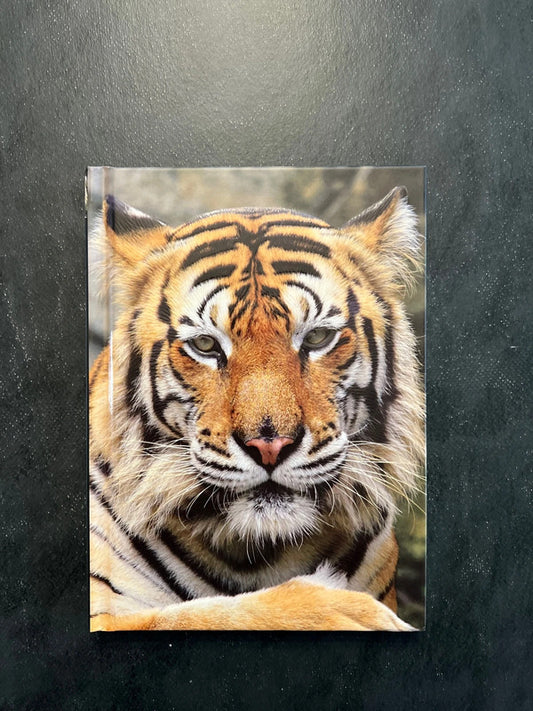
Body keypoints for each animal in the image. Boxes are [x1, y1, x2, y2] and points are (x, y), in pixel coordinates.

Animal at [89, 185, 425, 631]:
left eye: (317, 338)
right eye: (206, 345)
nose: (269, 446)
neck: (258, 554)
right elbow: (204, 615)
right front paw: (344, 612)